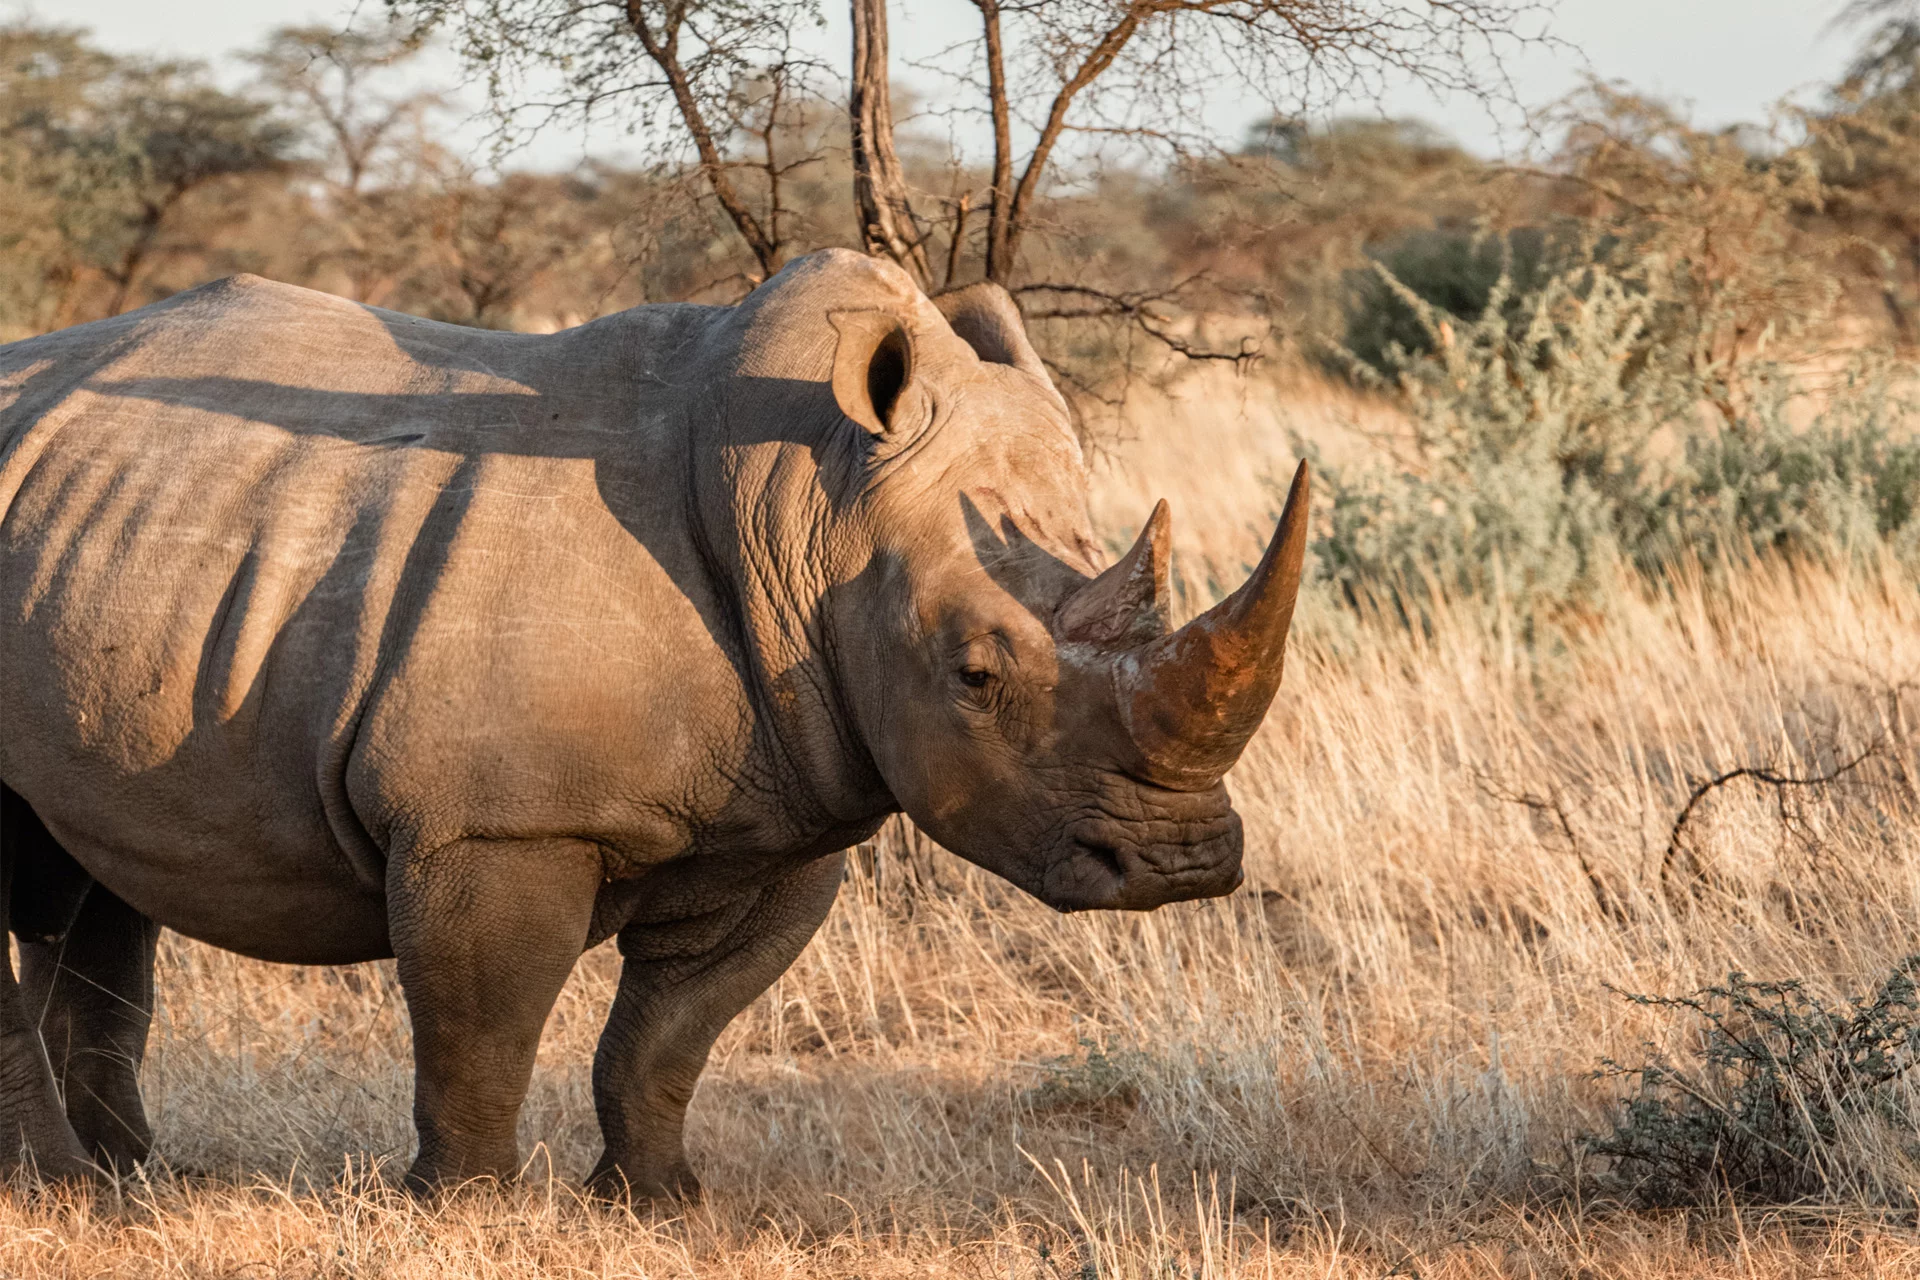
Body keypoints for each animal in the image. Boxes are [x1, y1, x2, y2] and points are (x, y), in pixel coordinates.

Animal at [0, 249, 1309, 1195]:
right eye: (976, 673)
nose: (1180, 862)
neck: (812, 506)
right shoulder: (495, 822)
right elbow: (483, 1021)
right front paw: (465, 1204)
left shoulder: (790, 818)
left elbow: (670, 1032)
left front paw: (659, 1198)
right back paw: (65, 1190)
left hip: (95, 543)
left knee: (89, 879)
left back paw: (134, 1176)